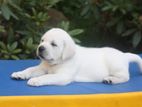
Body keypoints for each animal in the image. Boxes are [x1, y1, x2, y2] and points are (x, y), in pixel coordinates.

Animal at [11, 27, 142, 86]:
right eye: (42, 41)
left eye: (53, 44)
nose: (40, 48)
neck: (56, 63)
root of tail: (124, 55)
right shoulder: (42, 68)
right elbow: (30, 69)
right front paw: (19, 74)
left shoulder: (63, 76)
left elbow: (47, 77)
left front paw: (36, 80)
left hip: (115, 65)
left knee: (125, 77)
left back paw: (111, 79)